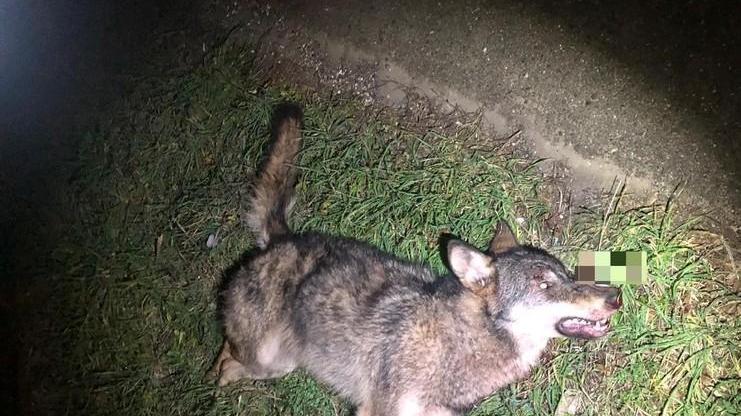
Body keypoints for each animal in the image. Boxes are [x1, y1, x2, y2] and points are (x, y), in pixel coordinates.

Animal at [211, 104, 622, 416]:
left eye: (568, 275)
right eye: (544, 283)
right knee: (229, 355)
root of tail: (284, 238)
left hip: (282, 362)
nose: (615, 296)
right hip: (268, 358)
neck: (460, 342)